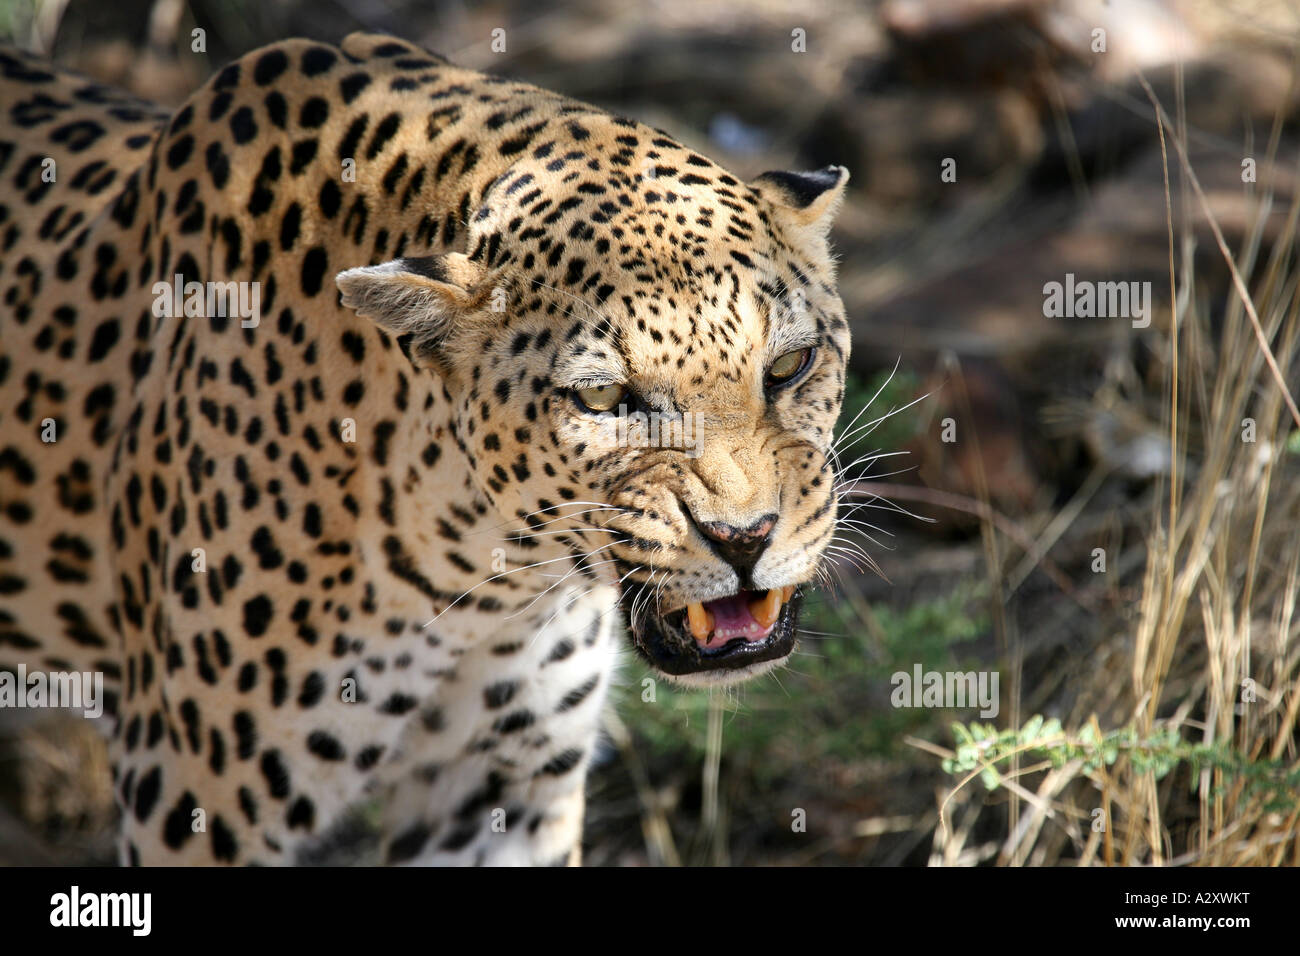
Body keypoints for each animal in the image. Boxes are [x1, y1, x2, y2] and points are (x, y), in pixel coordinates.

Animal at [2, 29, 852, 868]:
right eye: (605, 401)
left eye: (788, 366)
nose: (745, 539)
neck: (480, 575)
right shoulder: (190, 801)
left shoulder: (498, 793)